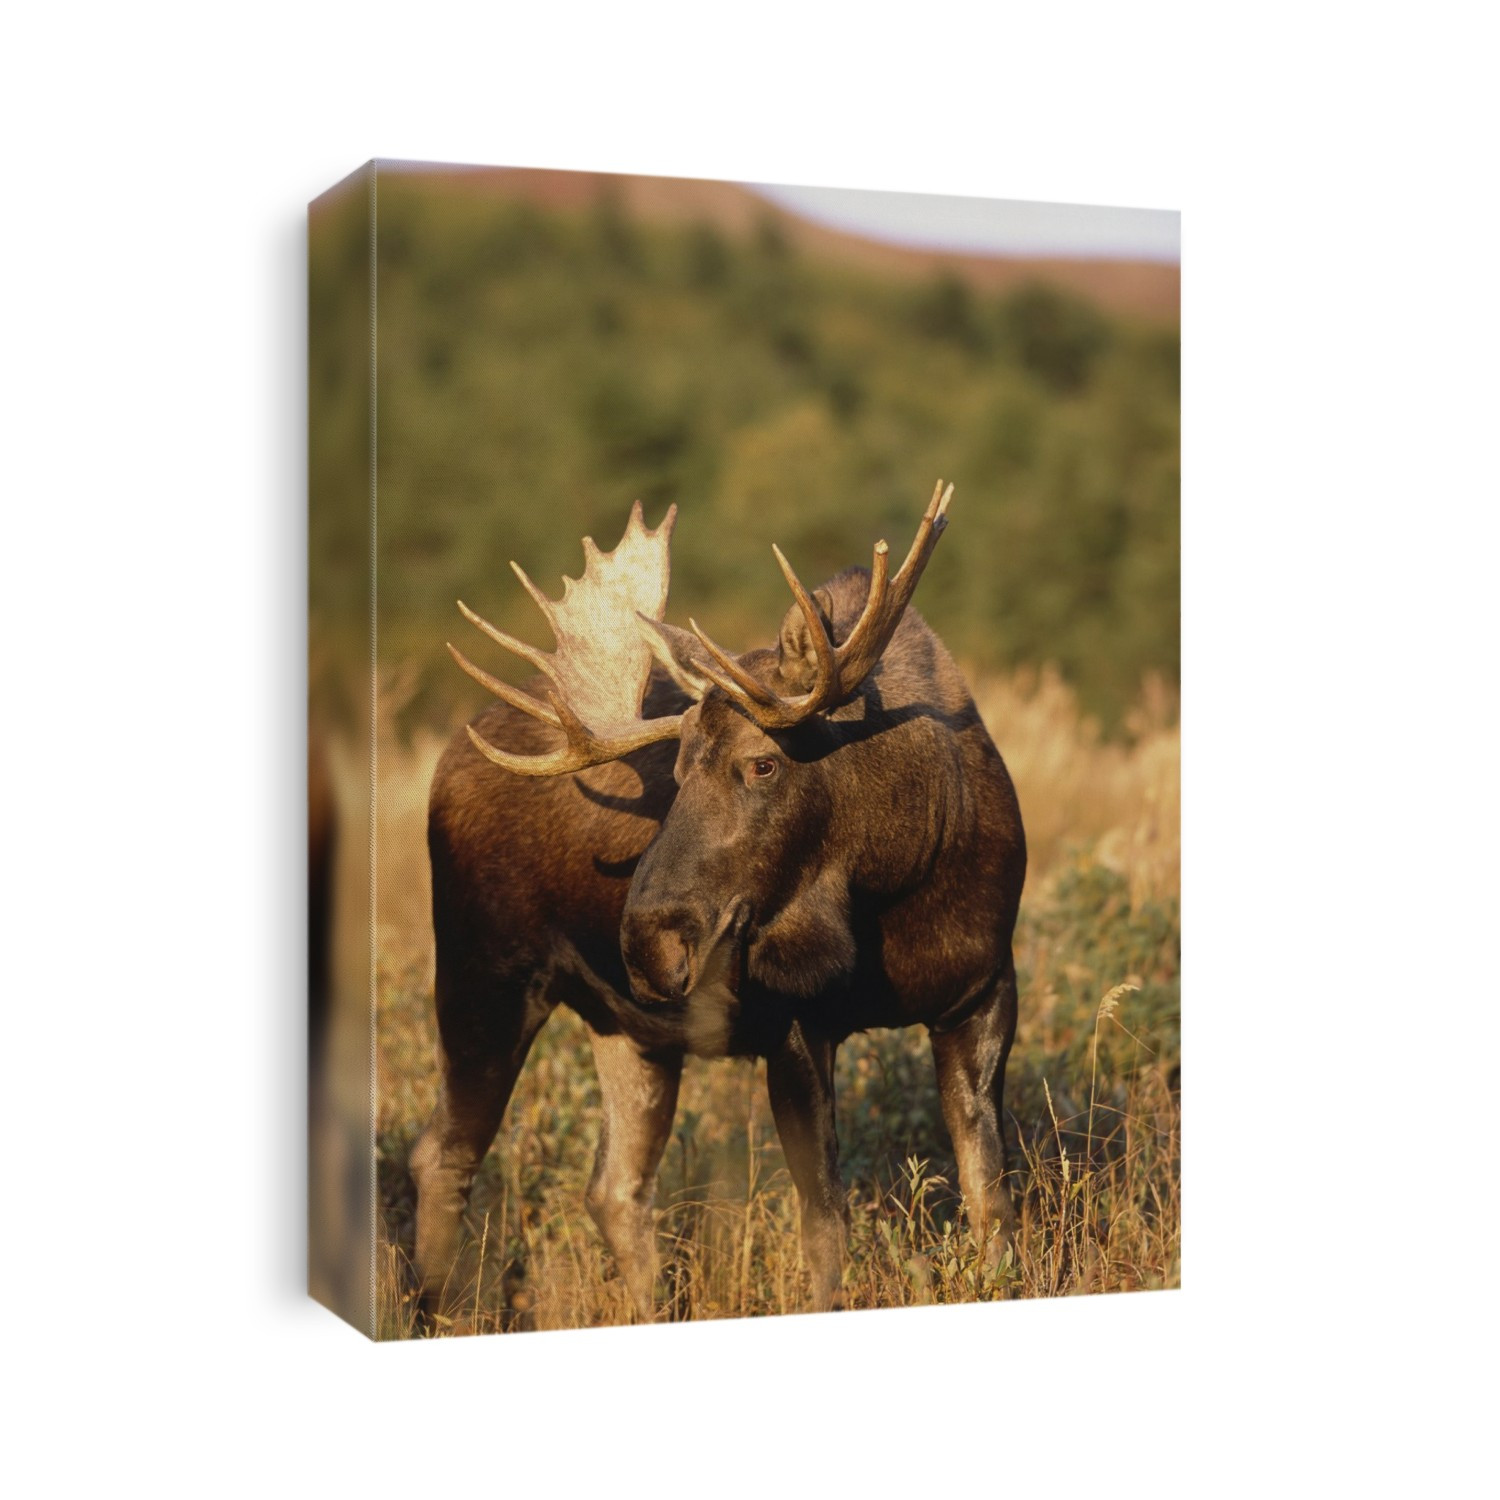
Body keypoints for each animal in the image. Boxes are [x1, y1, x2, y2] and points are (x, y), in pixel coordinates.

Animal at [409, 481, 1026, 1320]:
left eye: (763, 763)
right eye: (676, 768)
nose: (647, 938)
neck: (901, 882)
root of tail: (447, 758)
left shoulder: (985, 991)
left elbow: (989, 1202)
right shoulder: (792, 1021)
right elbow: (825, 1227)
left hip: (630, 1030)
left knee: (613, 1187)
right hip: (483, 975)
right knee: (442, 1152)